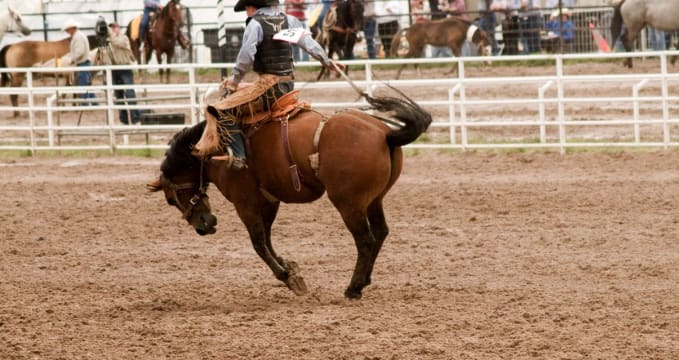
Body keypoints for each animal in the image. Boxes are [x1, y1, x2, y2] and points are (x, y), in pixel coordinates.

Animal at [149, 92, 432, 298]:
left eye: (171, 199)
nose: (203, 226)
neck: (214, 148)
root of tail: (386, 133)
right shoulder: (269, 201)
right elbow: (267, 239)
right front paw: (290, 268)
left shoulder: (245, 202)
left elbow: (258, 243)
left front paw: (287, 277)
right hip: (374, 200)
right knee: (381, 232)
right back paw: (364, 281)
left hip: (348, 203)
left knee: (365, 240)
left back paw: (353, 288)